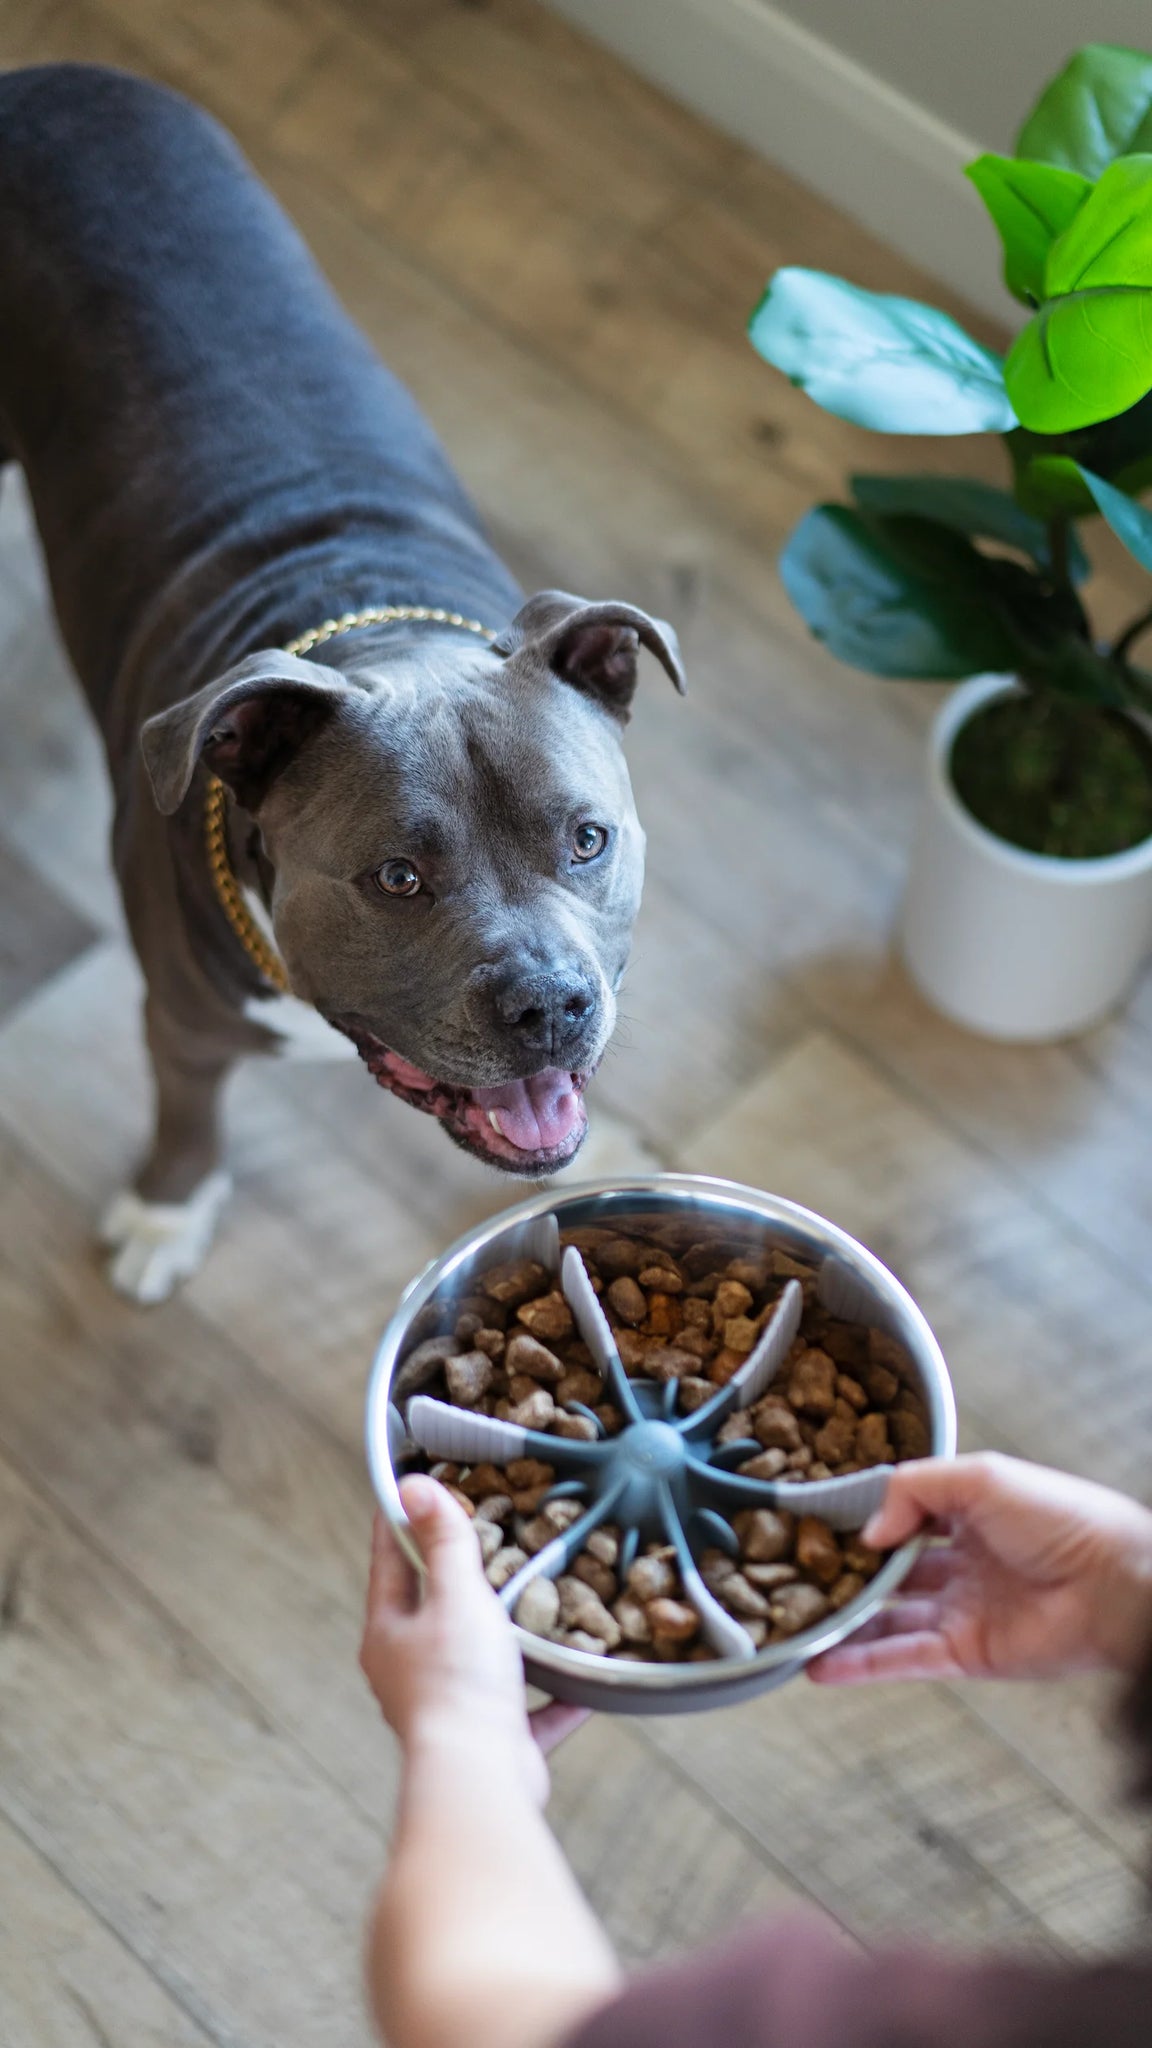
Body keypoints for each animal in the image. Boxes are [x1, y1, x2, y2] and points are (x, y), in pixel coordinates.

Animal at [0, 72, 680, 1302]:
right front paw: (169, 1212)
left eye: (589, 839)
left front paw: (604, 1149)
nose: (553, 1004)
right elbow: (187, 1117)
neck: (386, 632)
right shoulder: (180, 1023)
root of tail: (51, 80)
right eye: (397, 877)